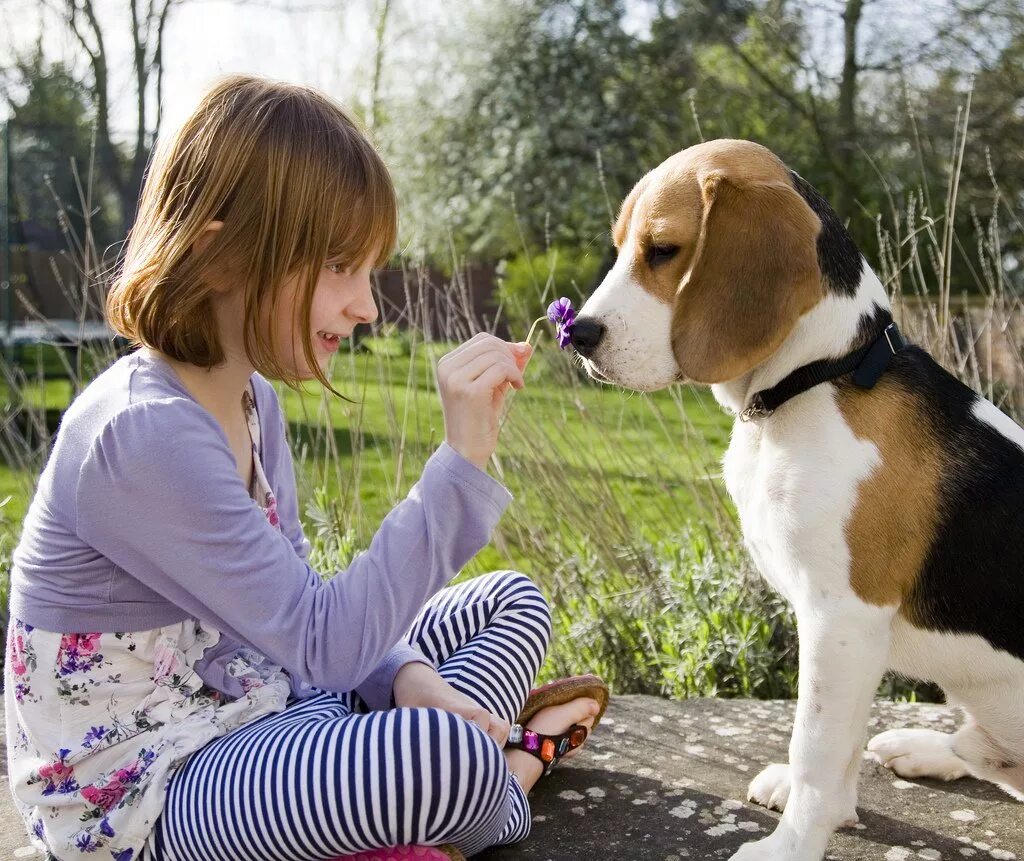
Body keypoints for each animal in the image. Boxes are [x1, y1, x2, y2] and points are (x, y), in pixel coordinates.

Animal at [573, 138, 1019, 855]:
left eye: (663, 249)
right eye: (619, 247)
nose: (577, 334)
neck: (823, 376)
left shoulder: (841, 619)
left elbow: (816, 742)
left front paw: (792, 843)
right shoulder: (846, 635)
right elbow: (837, 745)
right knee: (978, 752)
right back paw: (926, 747)